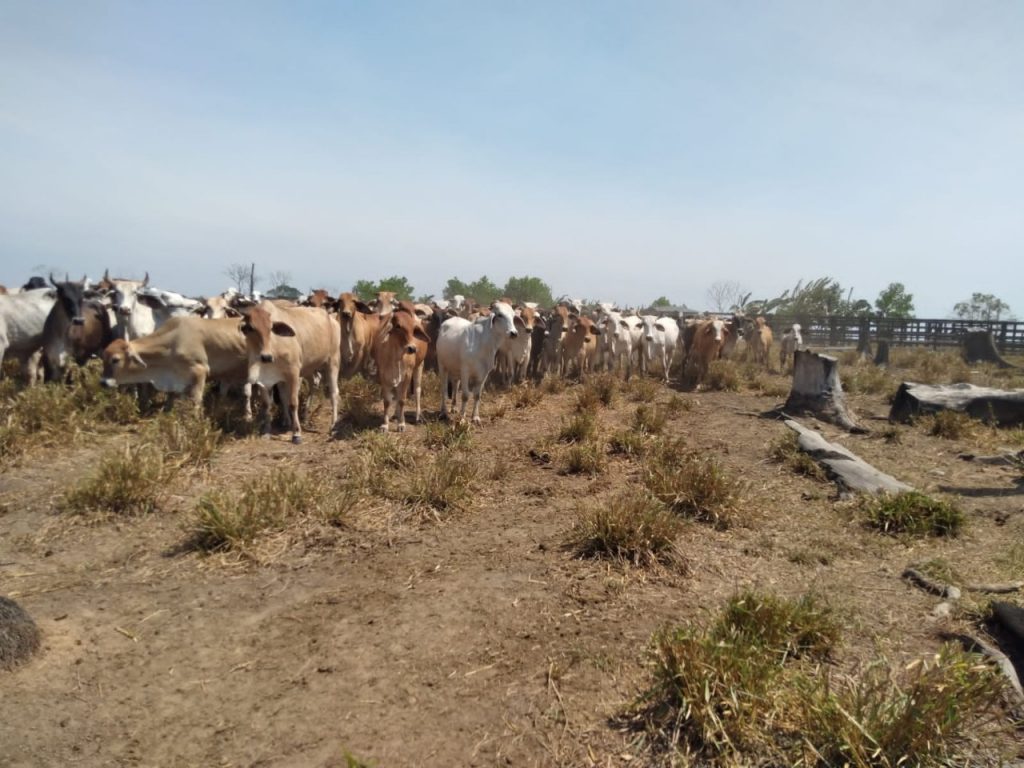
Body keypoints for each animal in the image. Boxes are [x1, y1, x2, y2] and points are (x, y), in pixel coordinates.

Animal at [239, 303, 339, 444]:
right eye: (251, 328)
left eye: (271, 328)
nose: (266, 357)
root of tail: (331, 318)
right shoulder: (264, 380)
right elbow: (268, 404)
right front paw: (266, 431)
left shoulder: (293, 374)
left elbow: (293, 402)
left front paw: (296, 434)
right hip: (309, 367)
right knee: (313, 383)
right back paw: (303, 416)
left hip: (332, 362)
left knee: (334, 393)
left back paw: (333, 425)